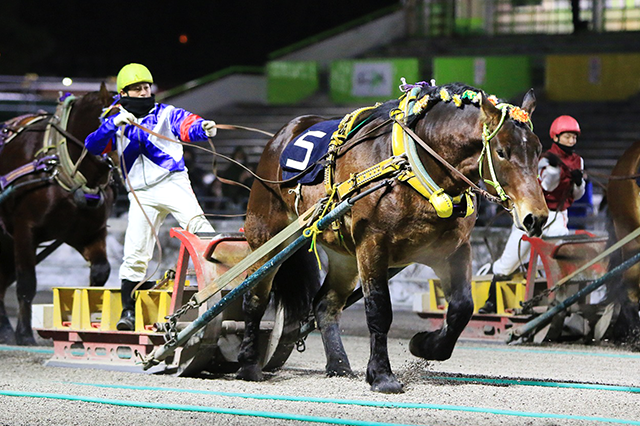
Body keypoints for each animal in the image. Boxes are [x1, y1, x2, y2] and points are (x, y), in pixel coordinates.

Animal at [238, 83, 548, 392]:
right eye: (502, 151)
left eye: (538, 150)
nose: (536, 216)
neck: (413, 166)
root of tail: (283, 134)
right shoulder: (372, 245)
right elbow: (379, 311)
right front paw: (381, 375)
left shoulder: (453, 249)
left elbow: (462, 307)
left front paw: (426, 344)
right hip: (267, 237)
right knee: (254, 297)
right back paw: (248, 364)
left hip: (343, 256)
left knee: (325, 304)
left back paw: (338, 364)